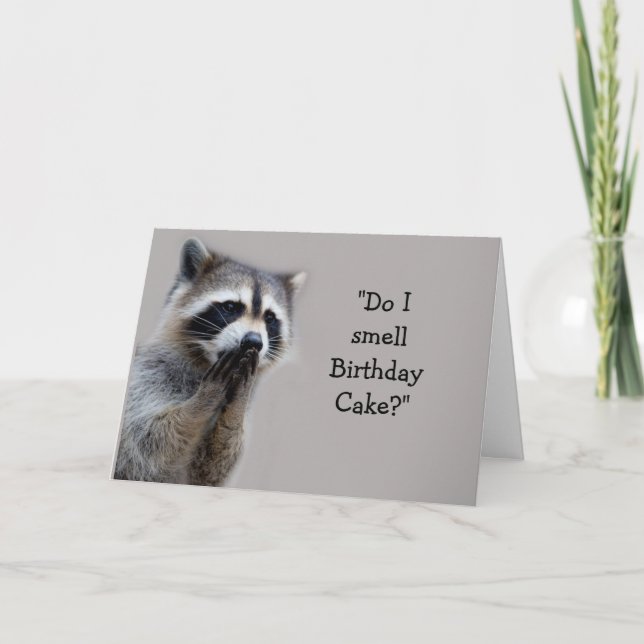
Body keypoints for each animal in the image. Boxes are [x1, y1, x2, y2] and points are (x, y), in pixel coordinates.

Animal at [113, 237, 305, 486]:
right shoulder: (148, 376)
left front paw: (235, 409)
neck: (205, 363)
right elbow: (143, 441)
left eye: (269, 318)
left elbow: (207, 470)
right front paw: (202, 401)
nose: (253, 341)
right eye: (230, 307)